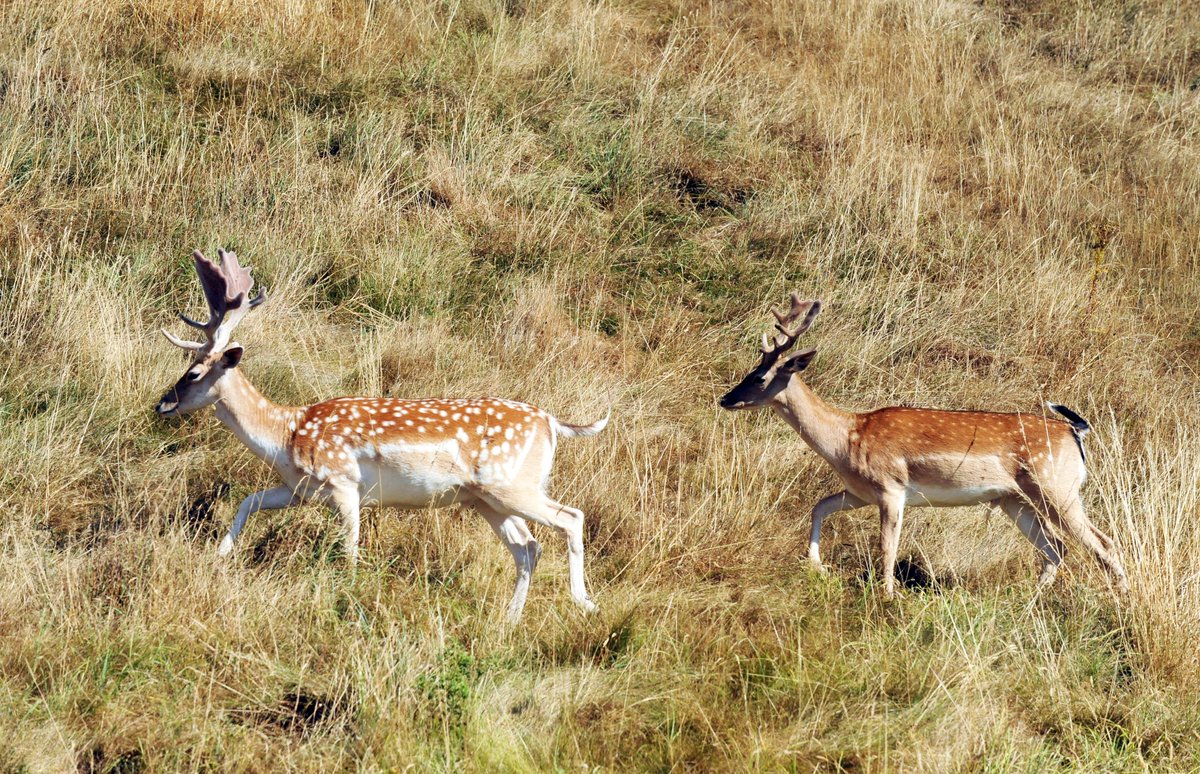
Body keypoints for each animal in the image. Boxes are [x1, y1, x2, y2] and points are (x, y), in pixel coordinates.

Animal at [155, 249, 608, 621]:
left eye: (193, 372)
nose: (162, 404)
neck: (287, 436)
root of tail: (552, 422)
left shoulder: (344, 482)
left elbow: (350, 549)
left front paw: (348, 597)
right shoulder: (301, 490)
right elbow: (248, 501)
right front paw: (220, 553)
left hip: (511, 485)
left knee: (570, 518)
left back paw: (583, 602)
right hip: (487, 500)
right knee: (528, 546)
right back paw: (510, 619)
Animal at [718, 293, 1130, 598]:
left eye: (759, 377)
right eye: (750, 371)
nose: (725, 399)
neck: (846, 439)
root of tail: (1075, 432)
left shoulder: (890, 487)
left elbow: (887, 546)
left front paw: (886, 597)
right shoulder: (860, 492)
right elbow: (819, 506)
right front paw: (817, 566)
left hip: (1057, 487)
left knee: (1103, 543)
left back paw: (1122, 600)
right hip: (1014, 499)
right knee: (1055, 548)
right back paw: (1030, 603)